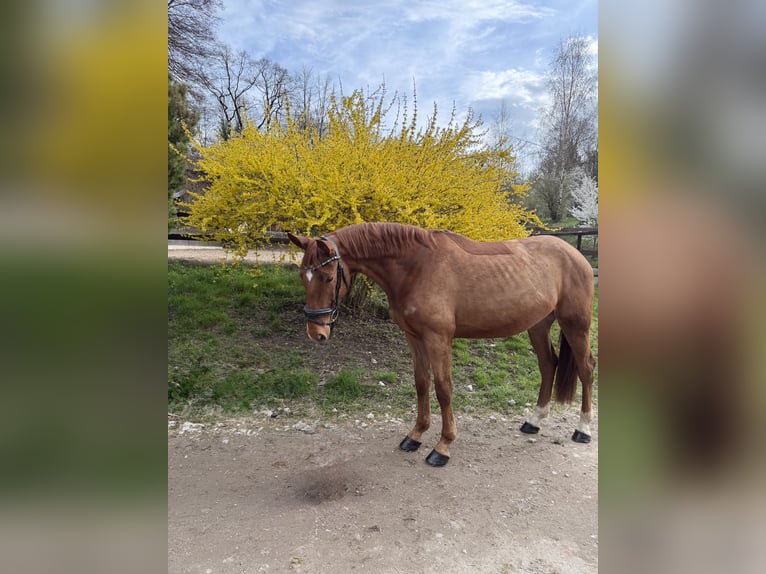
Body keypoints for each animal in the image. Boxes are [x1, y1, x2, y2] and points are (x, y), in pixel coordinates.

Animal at [287, 222, 596, 466]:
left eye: (328, 277)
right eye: (302, 276)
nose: (316, 332)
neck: (417, 266)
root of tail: (577, 255)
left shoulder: (438, 339)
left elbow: (443, 389)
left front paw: (443, 446)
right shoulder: (414, 338)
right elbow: (421, 384)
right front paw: (415, 435)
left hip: (576, 326)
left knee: (586, 369)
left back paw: (583, 429)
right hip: (538, 325)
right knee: (548, 365)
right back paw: (534, 421)